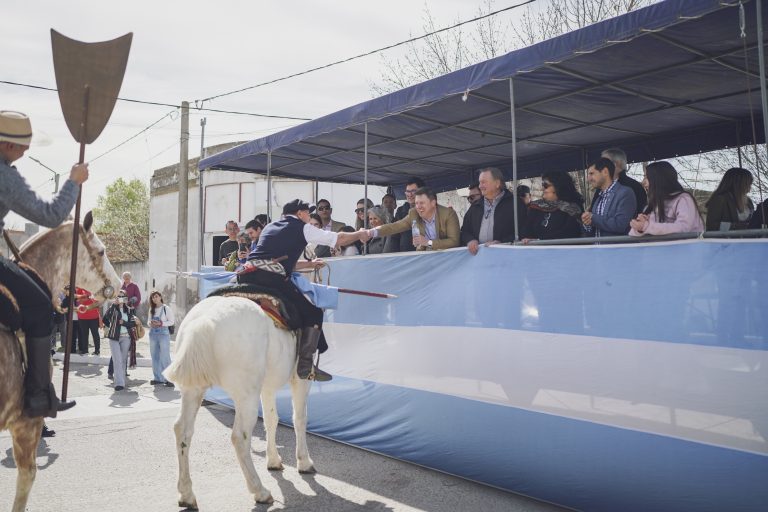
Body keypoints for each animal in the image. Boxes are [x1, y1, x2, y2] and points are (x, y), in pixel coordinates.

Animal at [163, 294, 315, 508]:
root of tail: (205, 320)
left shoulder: (267, 387)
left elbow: (272, 420)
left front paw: (273, 460)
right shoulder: (301, 380)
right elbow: (299, 419)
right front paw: (304, 461)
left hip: (193, 390)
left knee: (183, 430)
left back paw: (186, 494)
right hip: (246, 395)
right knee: (240, 437)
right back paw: (259, 491)